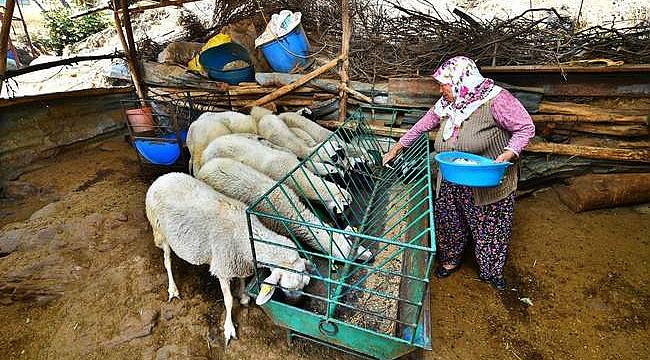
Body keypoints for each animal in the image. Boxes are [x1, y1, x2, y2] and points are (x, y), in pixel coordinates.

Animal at [146, 173, 310, 344]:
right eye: (287, 287)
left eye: (305, 284)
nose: (298, 303)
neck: (245, 235)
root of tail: (162, 178)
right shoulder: (223, 268)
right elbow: (229, 300)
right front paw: (229, 328)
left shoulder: (240, 263)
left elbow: (242, 280)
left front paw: (243, 296)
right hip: (160, 230)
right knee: (167, 261)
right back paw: (173, 289)